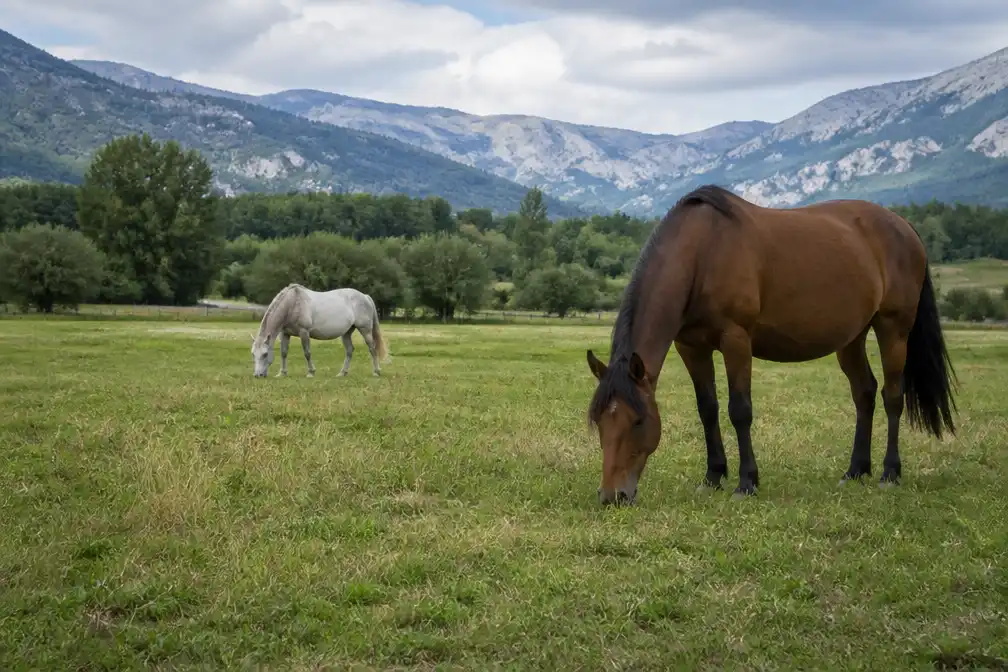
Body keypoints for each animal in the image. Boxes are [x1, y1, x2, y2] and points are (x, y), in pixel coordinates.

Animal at [250, 284, 389, 378]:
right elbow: (283, 353)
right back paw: (342, 373)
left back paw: (376, 372)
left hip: (365, 330)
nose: (257, 375)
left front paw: (311, 372)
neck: (293, 304)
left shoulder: (304, 332)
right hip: (346, 333)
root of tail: (365, 296)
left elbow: (307, 353)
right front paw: (282, 373)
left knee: (372, 348)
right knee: (350, 351)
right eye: (253, 354)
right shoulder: (285, 333)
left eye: (265, 354)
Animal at [586, 184, 957, 506]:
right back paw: (855, 471)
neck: (702, 252)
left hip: (893, 329)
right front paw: (712, 477)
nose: (612, 496)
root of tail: (904, 226)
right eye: (599, 421)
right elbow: (708, 409)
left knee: (892, 396)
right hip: (851, 338)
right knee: (864, 393)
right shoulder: (691, 347)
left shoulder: (736, 339)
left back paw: (889, 473)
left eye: (638, 421)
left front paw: (746, 482)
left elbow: (739, 410)